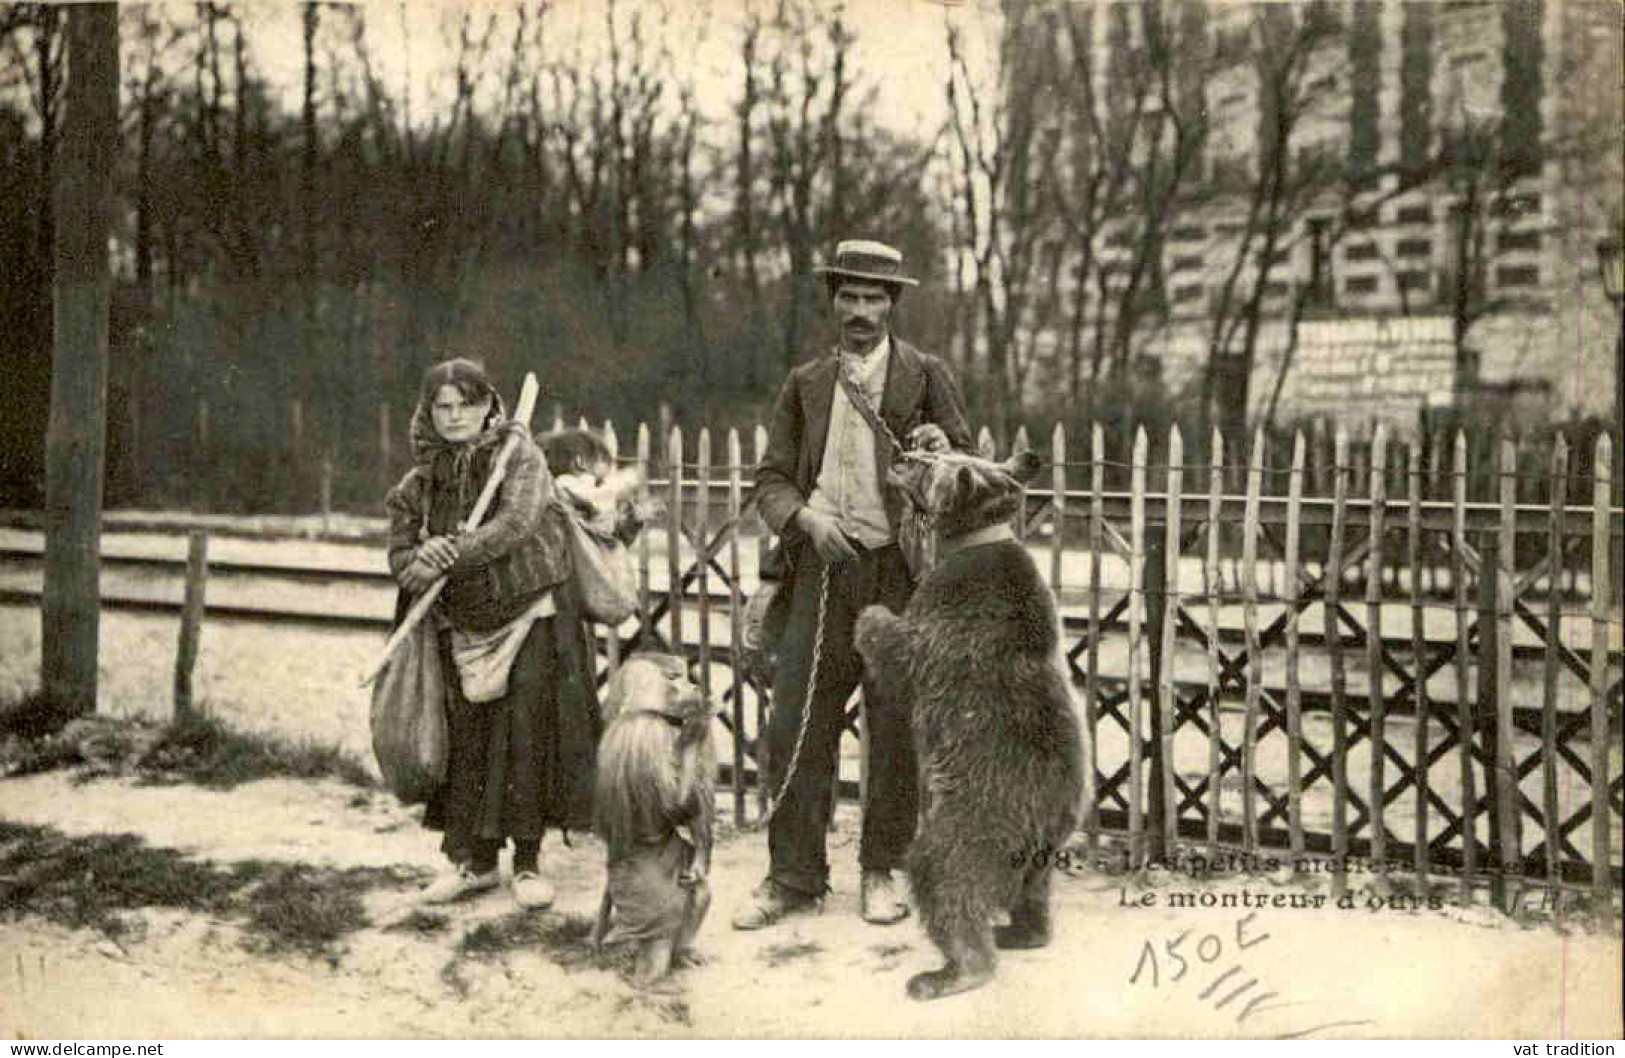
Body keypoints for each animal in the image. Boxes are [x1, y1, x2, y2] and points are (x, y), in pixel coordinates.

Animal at [858, 448, 1085, 1001]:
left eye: (926, 463)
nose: (901, 453)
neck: (975, 538)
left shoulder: (941, 621)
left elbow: (898, 650)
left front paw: (869, 616)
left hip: (965, 828)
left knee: (945, 886)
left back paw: (946, 972)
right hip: (1044, 853)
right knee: (1033, 896)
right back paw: (1021, 932)